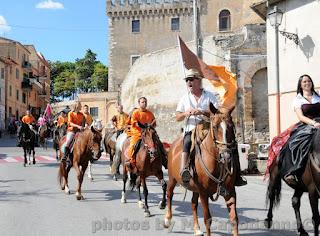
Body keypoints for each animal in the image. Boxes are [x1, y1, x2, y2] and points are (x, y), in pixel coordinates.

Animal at [164, 103, 239, 236]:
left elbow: (234, 218)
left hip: (195, 188)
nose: (226, 156)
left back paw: (197, 229)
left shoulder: (230, 191)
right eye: (214, 126)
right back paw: (167, 219)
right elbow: (207, 218)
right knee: (169, 193)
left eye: (231, 126)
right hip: (173, 179)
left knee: (193, 204)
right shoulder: (204, 193)